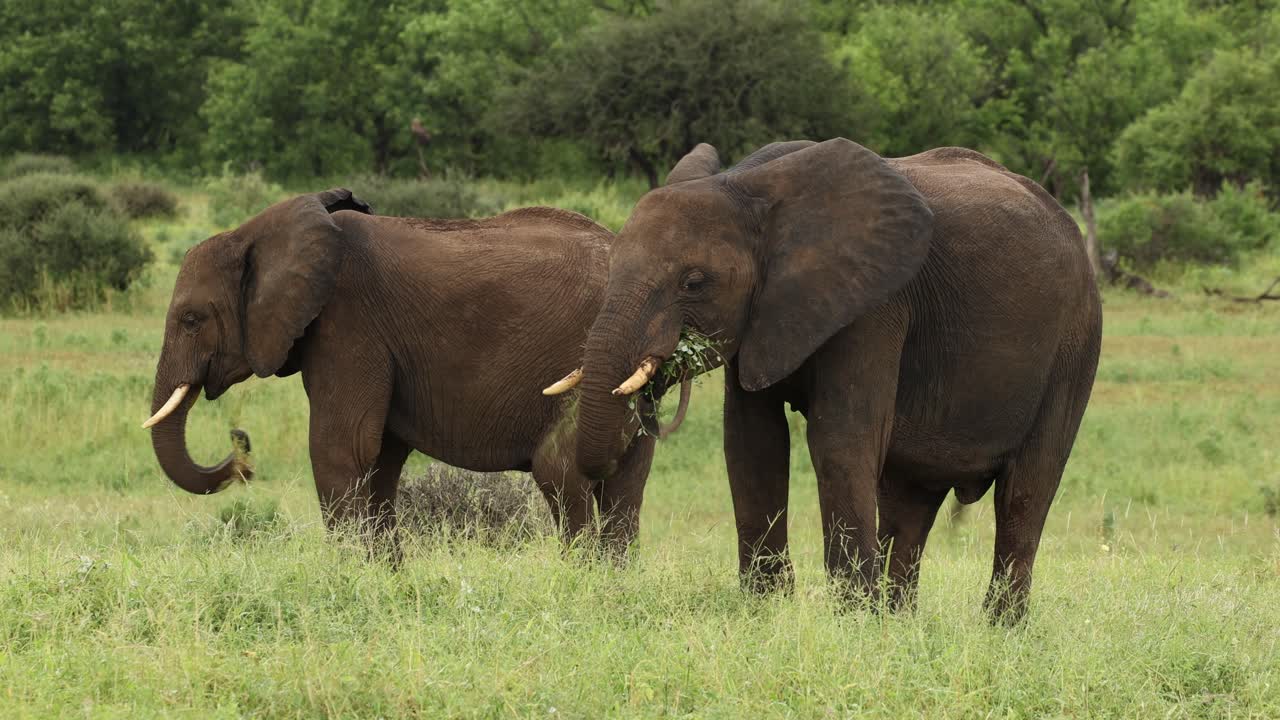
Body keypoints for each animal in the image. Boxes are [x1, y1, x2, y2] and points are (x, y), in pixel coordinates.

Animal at [143, 189, 688, 557]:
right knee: (627, 482)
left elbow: (341, 447)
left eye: (191, 319)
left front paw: (349, 576)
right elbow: (379, 458)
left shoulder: (347, 326)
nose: (241, 448)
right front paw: (384, 576)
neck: (258, 233)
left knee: (561, 470)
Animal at [564, 139, 1101, 622]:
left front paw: (850, 620)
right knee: (910, 500)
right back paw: (898, 622)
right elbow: (752, 443)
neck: (744, 185)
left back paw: (999, 628)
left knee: (1025, 493)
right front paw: (768, 610)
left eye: (693, 283)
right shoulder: (760, 317)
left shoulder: (875, 305)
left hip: (1075, 342)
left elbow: (839, 440)